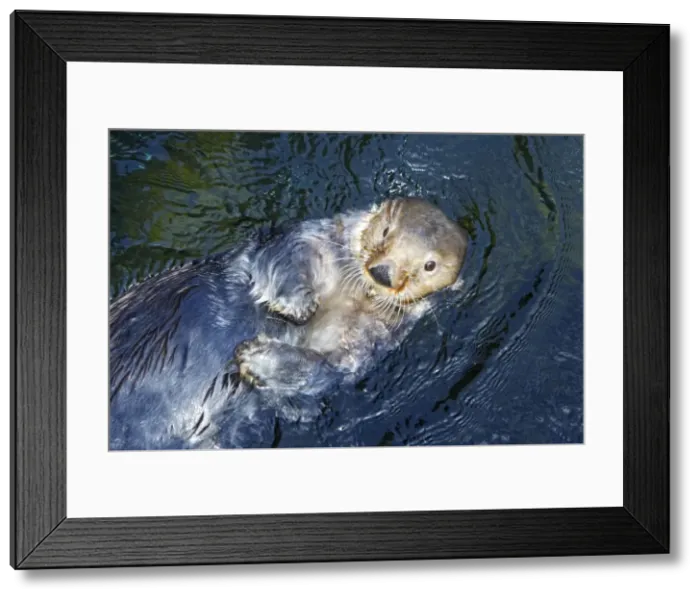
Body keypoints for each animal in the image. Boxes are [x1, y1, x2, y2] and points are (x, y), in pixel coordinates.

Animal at [108, 197, 468, 450]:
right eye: (385, 232)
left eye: (430, 265)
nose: (382, 273)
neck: (351, 295)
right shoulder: (310, 236)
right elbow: (287, 256)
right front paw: (297, 307)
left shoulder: (370, 338)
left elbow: (326, 367)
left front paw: (254, 357)